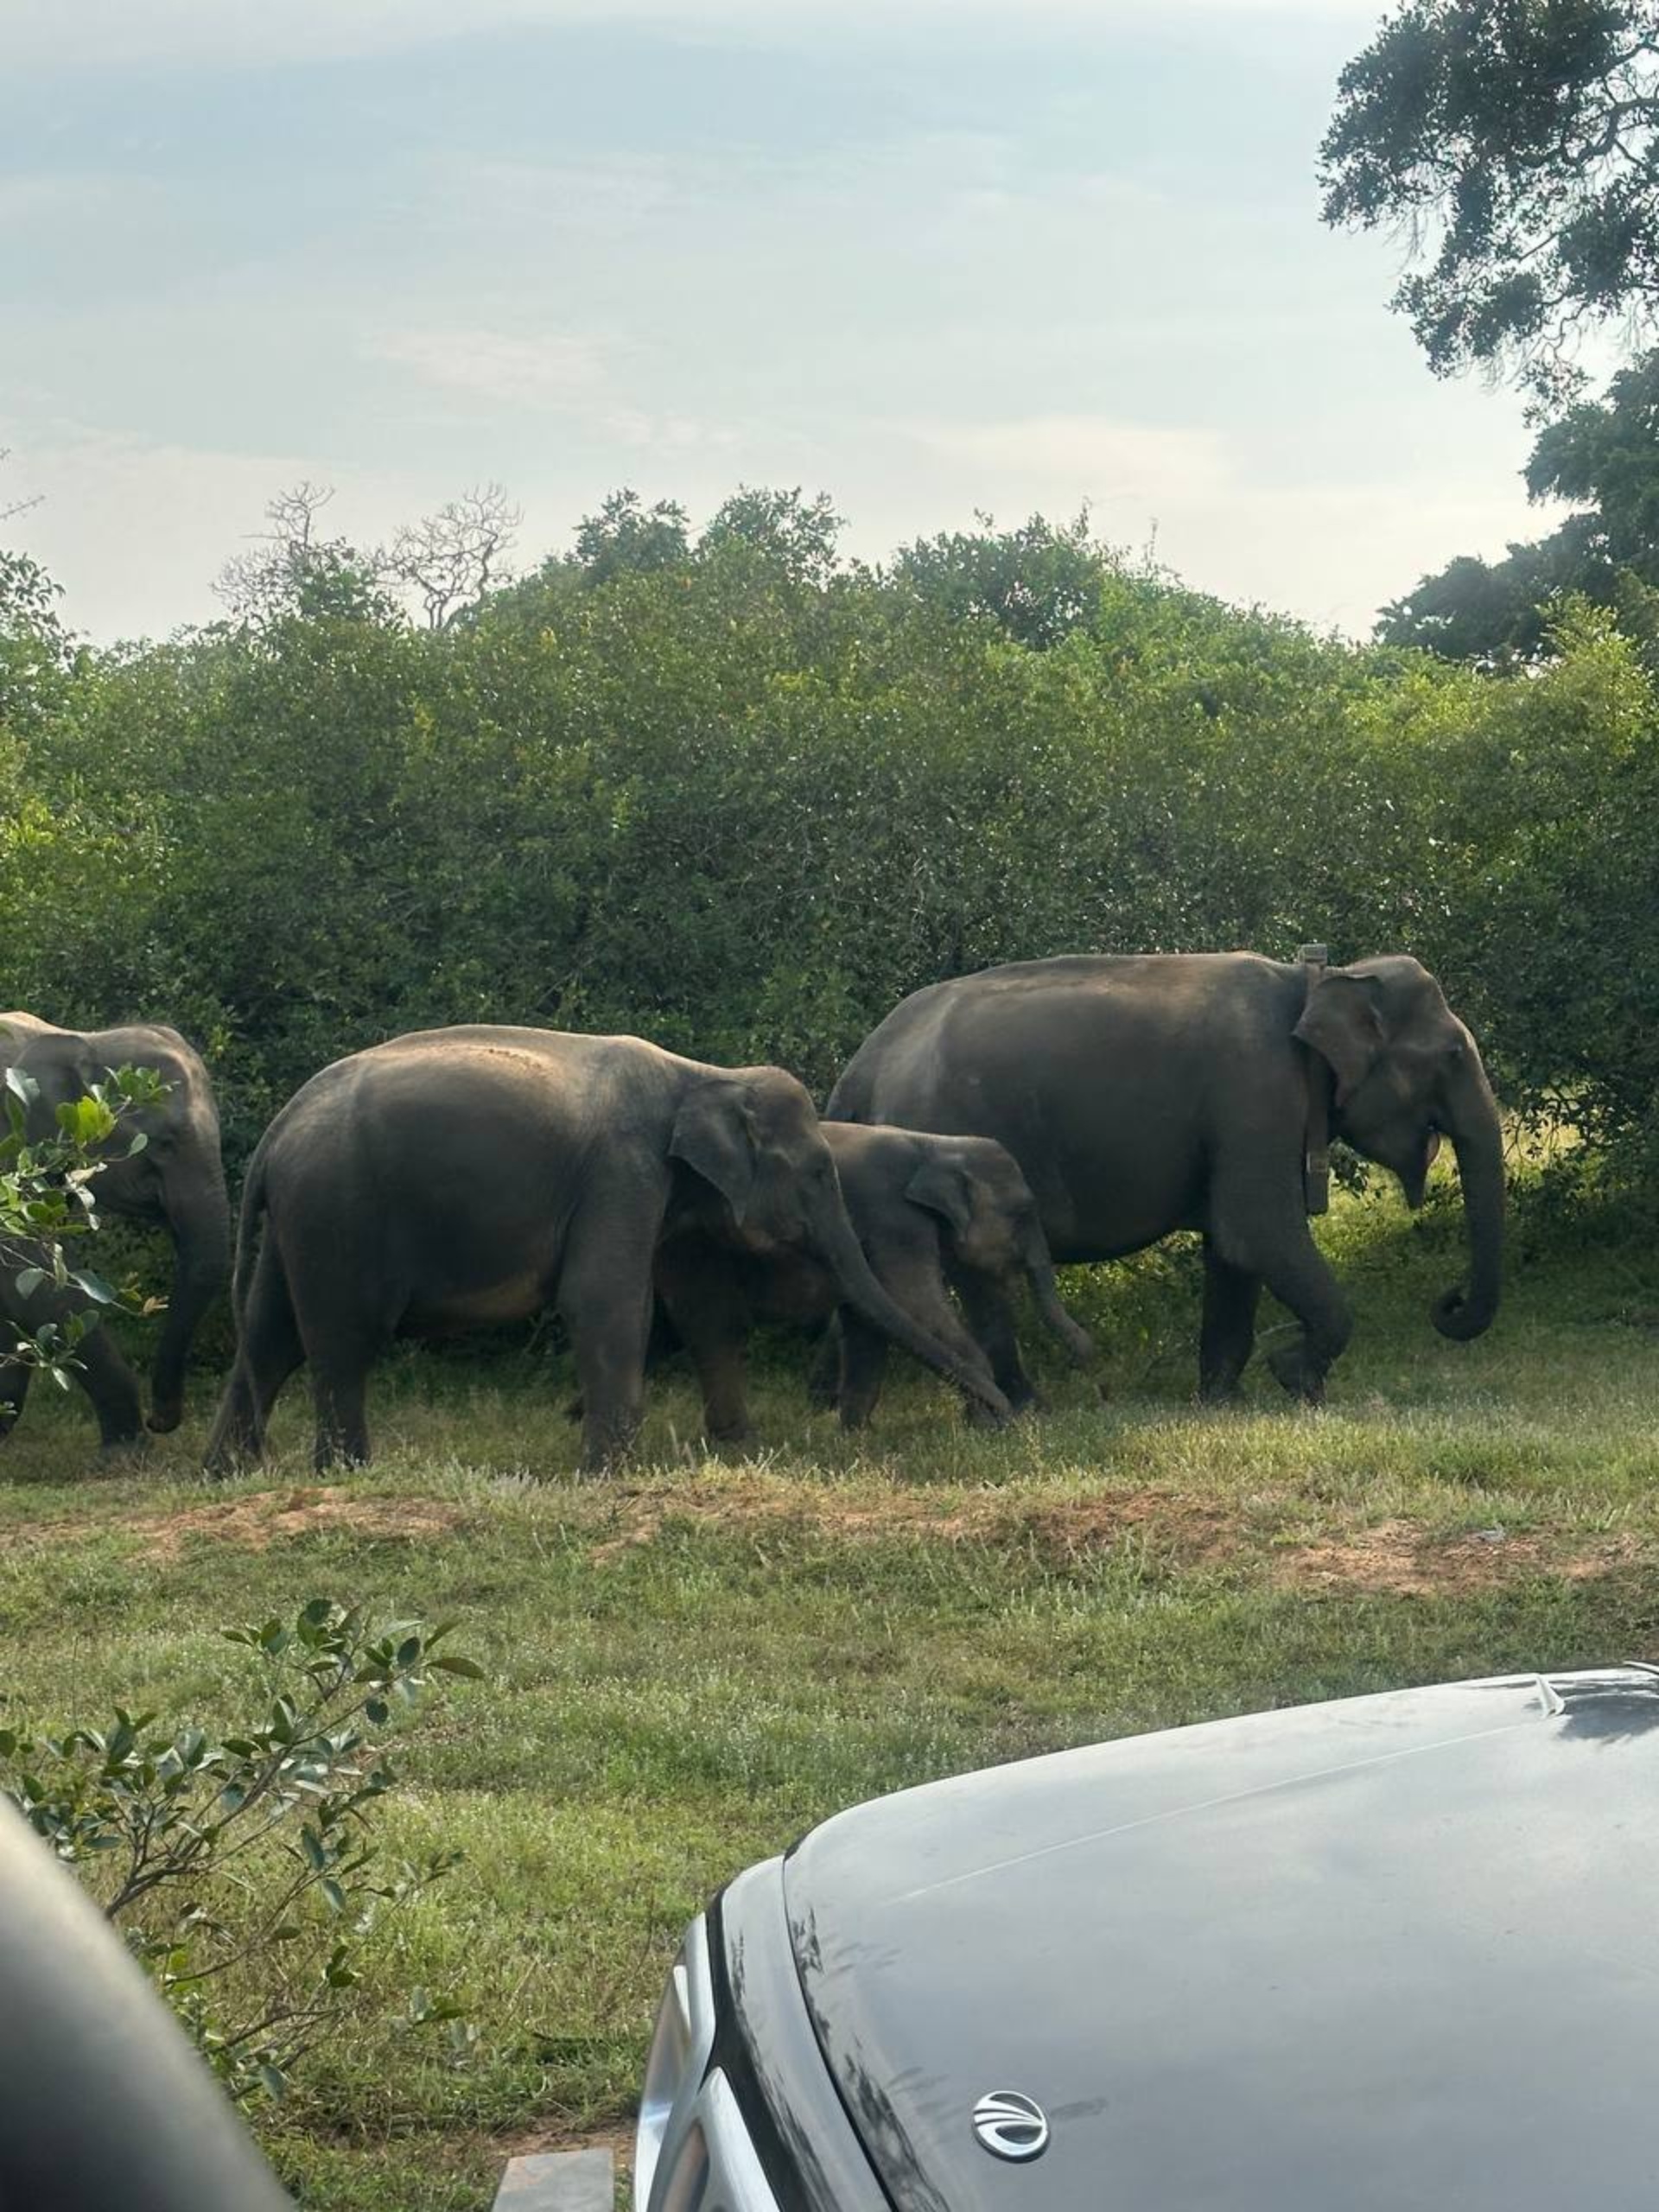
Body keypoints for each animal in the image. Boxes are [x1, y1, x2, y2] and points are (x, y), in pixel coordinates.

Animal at [207, 1026, 1013, 1478]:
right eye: (817, 1173)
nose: (1003, 1419)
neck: (705, 1075)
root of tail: (278, 1132)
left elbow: (703, 1308)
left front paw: (738, 1449)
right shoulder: (621, 1171)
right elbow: (604, 1298)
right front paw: (608, 1474)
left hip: (300, 1220)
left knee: (271, 1334)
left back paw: (230, 1473)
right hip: (339, 1214)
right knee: (342, 1340)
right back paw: (347, 1473)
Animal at [650, 1115, 1106, 1442]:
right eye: (1023, 1212)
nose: (1088, 1359)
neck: (934, 1144)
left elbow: (869, 1324)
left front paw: (857, 1434)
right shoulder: (893, 1219)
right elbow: (915, 1302)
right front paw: (988, 1423)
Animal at [831, 946, 1503, 1397]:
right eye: (1452, 1055)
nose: (1448, 1302)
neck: (1316, 978)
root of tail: (862, 1065)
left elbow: (1233, 1250)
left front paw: (1225, 1401)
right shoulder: (1255, 1094)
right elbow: (1256, 1233)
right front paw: (1294, 1378)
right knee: (980, 1278)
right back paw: (1025, 1409)